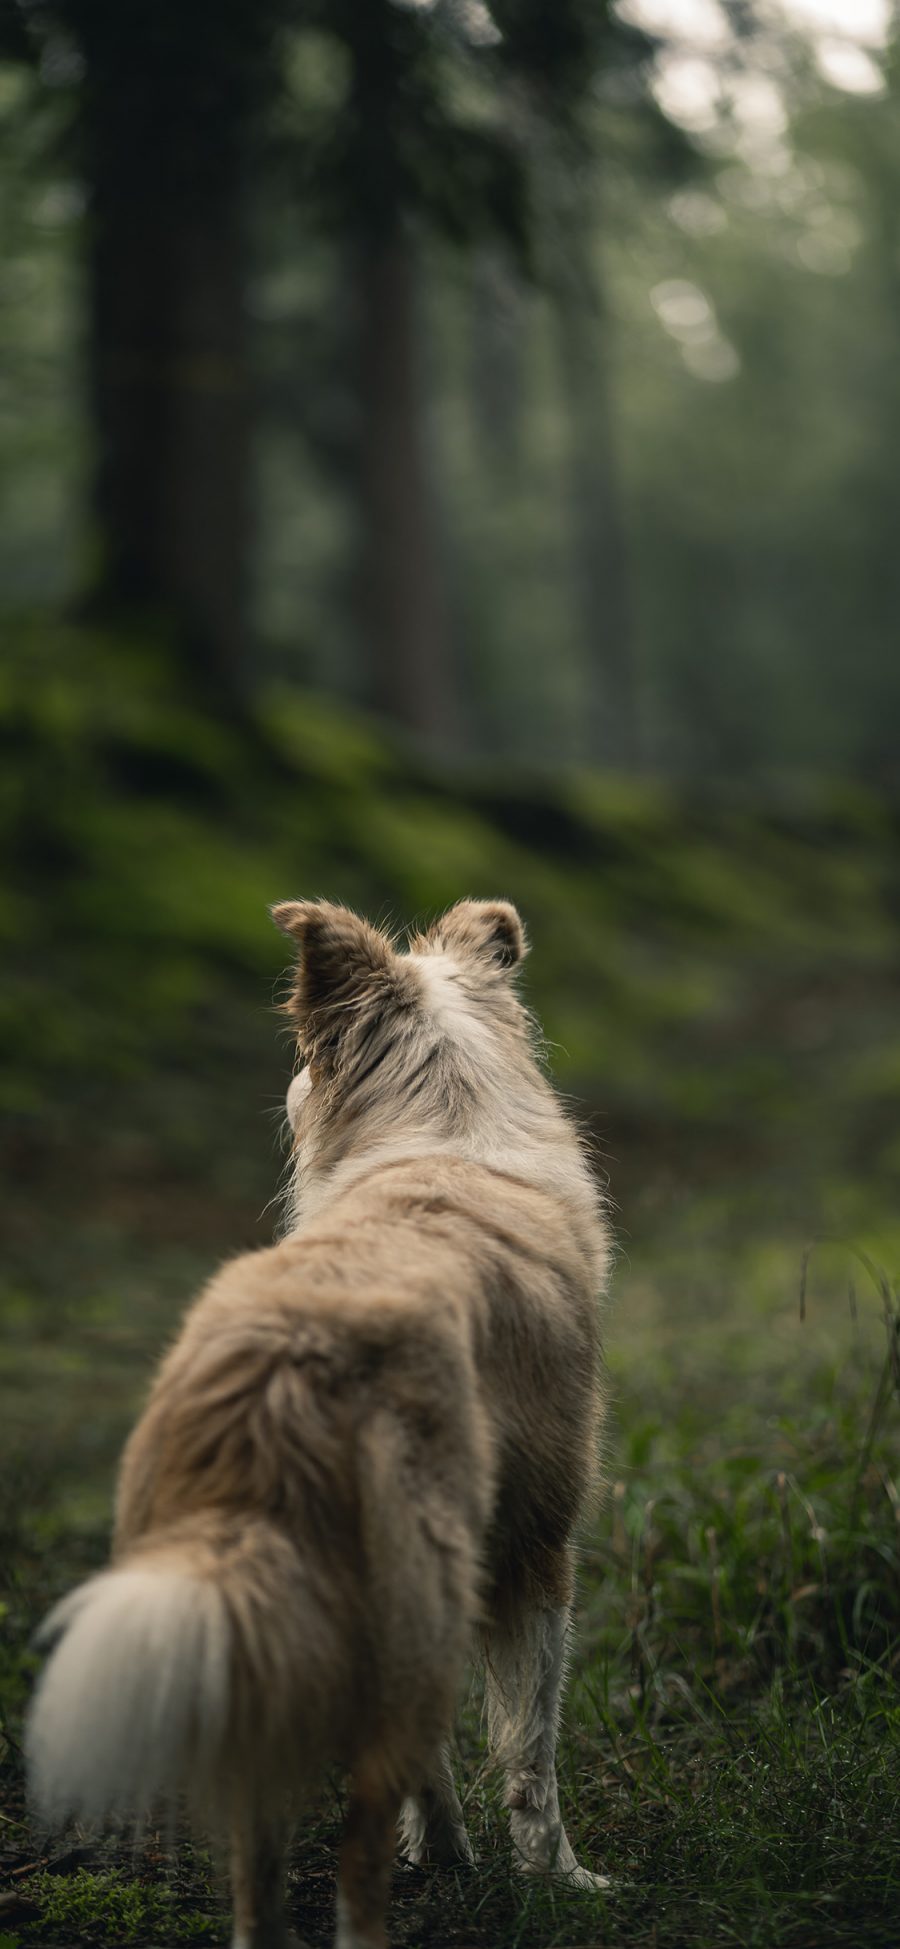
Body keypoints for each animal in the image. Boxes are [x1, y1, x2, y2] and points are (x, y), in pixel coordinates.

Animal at [29, 896, 619, 1949]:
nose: (292, 1085)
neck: (448, 1129)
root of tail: (291, 1359)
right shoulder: (537, 1549)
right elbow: (530, 1746)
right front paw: (556, 1876)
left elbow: (448, 1757)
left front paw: (455, 1855)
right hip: (416, 1581)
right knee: (357, 1839)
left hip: (238, 1620)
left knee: (259, 1852)